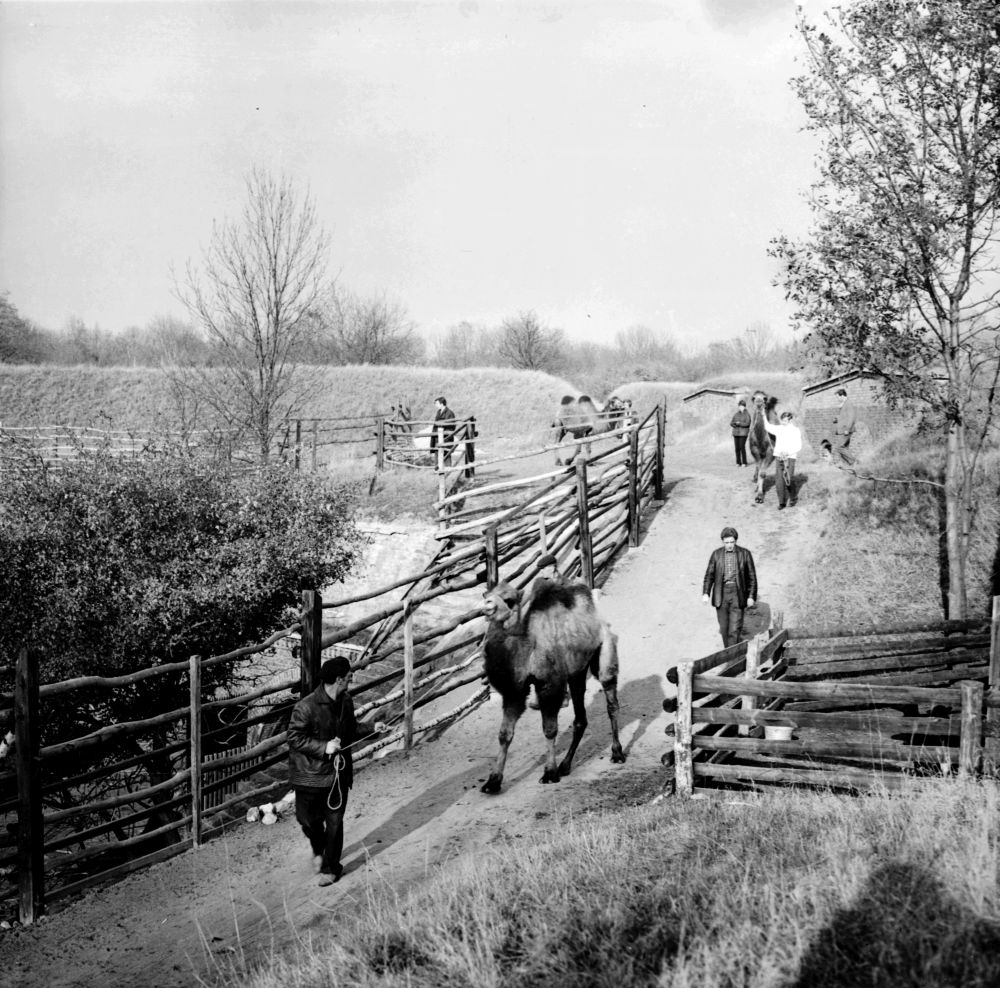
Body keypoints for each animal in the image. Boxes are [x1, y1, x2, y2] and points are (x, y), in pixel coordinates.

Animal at [478, 580, 624, 796]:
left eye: (509, 599)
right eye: (487, 594)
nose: (487, 605)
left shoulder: (549, 684)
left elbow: (549, 729)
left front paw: (549, 773)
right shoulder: (515, 691)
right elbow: (504, 734)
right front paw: (493, 782)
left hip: (605, 651)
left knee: (611, 701)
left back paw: (617, 753)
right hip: (576, 671)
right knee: (580, 717)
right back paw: (565, 765)